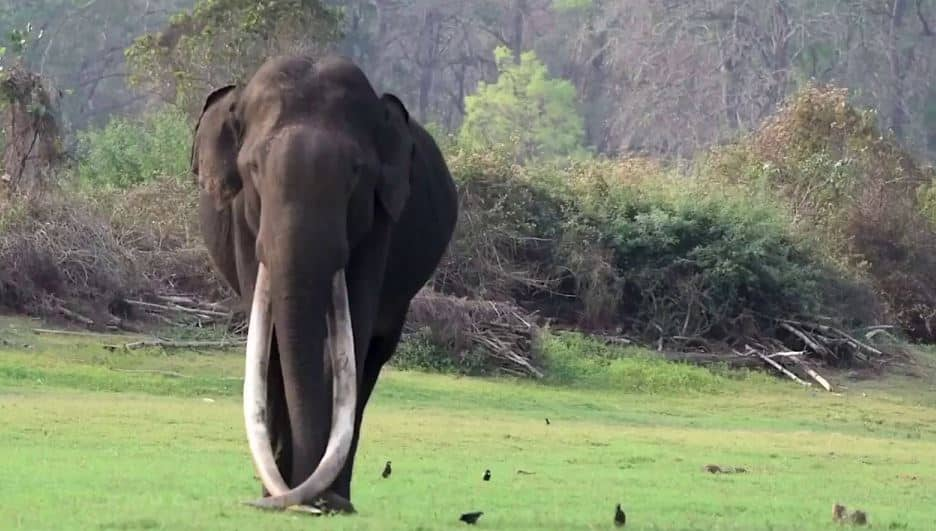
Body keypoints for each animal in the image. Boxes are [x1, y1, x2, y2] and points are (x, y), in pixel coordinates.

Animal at [193, 55, 460, 516]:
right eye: (254, 169)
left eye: (356, 172)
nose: (309, 503)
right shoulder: (243, 221)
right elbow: (272, 344)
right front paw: (279, 495)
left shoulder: (379, 216)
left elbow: (353, 331)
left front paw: (325, 500)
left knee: (370, 359)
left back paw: (339, 495)